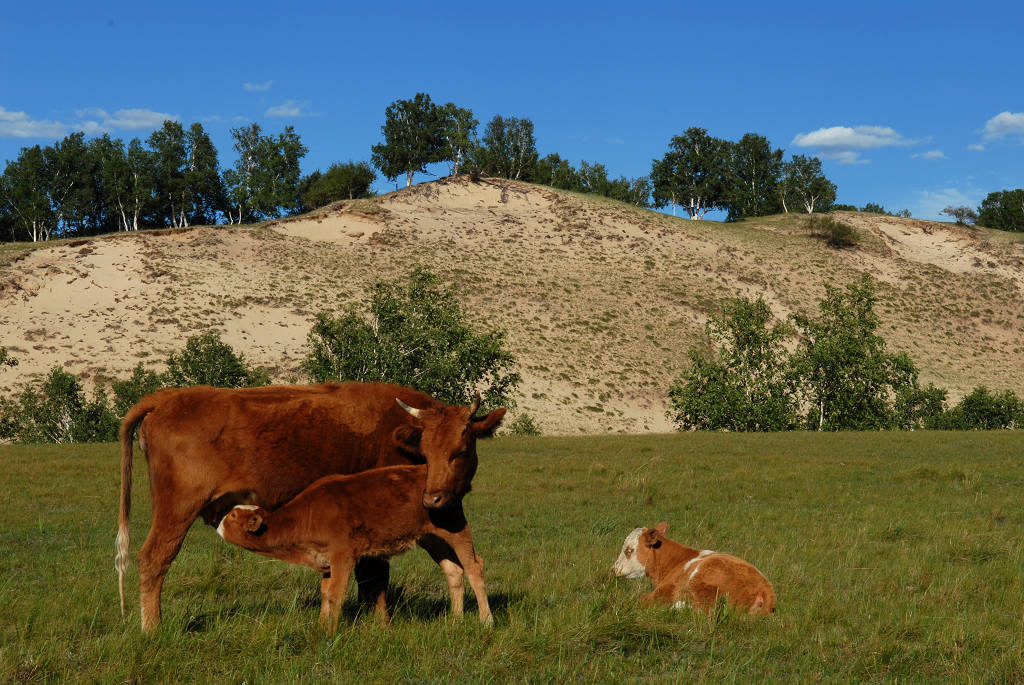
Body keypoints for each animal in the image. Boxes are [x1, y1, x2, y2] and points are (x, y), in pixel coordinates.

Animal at [216, 462, 491, 634]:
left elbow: (336, 594)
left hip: (455, 527)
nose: (216, 523)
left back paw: (486, 620)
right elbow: (325, 594)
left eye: (233, 516)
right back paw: (455, 620)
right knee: (453, 570)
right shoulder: (326, 559)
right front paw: (321, 625)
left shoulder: (343, 555)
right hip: (431, 538)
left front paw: (330, 633)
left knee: (474, 567)